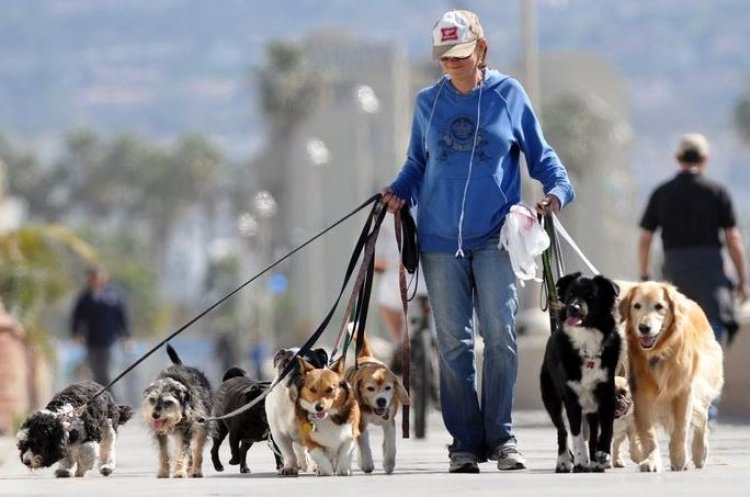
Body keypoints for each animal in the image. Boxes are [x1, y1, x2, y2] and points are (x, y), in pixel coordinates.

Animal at [143, 344, 214, 476]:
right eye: (152, 399)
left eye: (168, 402)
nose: (155, 415)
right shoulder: (161, 433)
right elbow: (164, 451)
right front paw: (163, 471)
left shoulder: (186, 429)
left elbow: (182, 452)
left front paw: (180, 472)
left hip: (202, 425)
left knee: (198, 450)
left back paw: (195, 470)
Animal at [346, 334, 412, 472]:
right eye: (370, 388)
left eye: (388, 388)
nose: (381, 401)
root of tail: (364, 357)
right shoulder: (361, 423)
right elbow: (364, 445)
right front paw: (367, 464)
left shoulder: (389, 422)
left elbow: (391, 445)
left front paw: (389, 463)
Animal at [540, 274, 624, 470]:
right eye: (571, 294)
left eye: (591, 296)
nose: (573, 308)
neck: (587, 340)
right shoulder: (571, 398)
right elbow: (576, 433)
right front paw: (580, 460)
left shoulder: (607, 394)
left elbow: (606, 428)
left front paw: (603, 454)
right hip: (551, 398)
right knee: (562, 430)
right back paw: (564, 461)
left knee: (593, 431)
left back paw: (595, 460)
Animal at [620, 280, 724, 470]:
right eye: (636, 306)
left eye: (659, 306)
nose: (644, 328)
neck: (660, 351)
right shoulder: (641, 392)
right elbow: (648, 432)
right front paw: (651, 460)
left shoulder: (684, 390)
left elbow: (681, 428)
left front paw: (679, 459)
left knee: (702, 418)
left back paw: (699, 453)